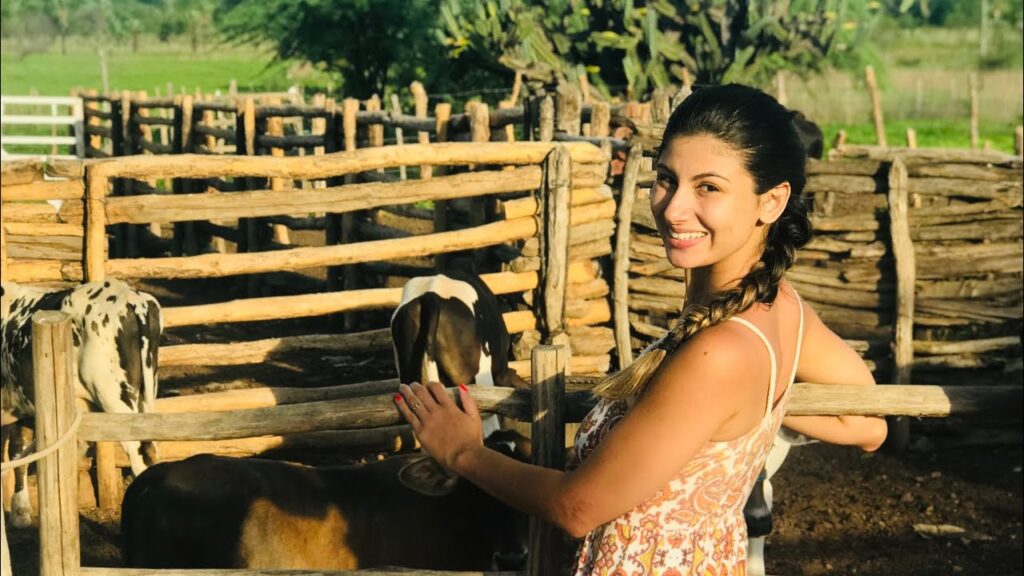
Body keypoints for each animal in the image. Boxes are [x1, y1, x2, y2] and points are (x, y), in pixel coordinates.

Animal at [1, 278, 160, 524]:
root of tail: (134, 298)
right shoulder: (21, 404)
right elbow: (19, 453)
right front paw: (21, 511)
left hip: (115, 397)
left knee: (141, 452)